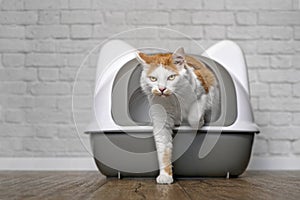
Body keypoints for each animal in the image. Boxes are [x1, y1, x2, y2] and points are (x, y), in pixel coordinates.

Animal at [137, 47, 219, 184]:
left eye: (171, 77)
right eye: (153, 78)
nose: (162, 89)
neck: (173, 99)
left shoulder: (204, 93)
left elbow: (194, 117)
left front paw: (200, 121)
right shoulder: (160, 119)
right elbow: (163, 149)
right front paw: (165, 176)